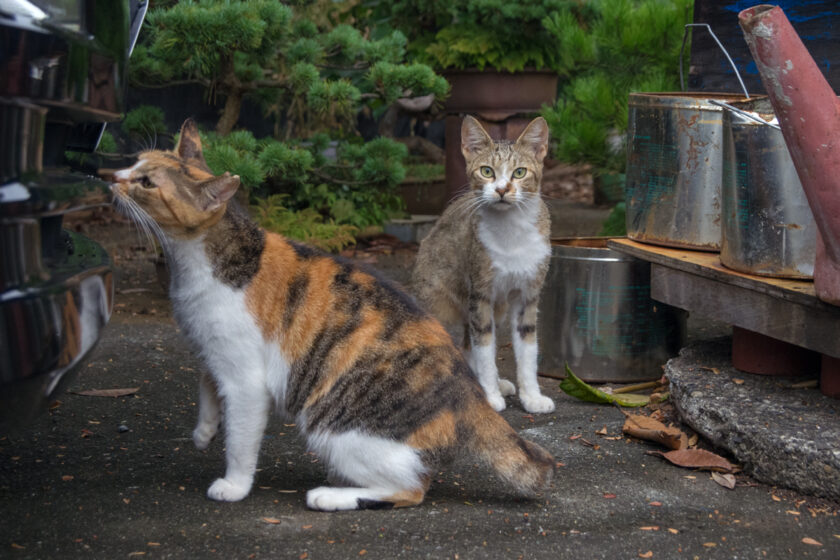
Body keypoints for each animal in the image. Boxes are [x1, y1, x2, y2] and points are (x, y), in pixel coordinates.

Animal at [412, 117, 556, 416]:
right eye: (487, 171)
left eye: (520, 172)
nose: (501, 189)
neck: (511, 231)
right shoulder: (480, 293)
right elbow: (485, 347)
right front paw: (489, 396)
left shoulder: (528, 295)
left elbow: (527, 349)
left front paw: (532, 397)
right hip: (440, 304)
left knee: (468, 343)